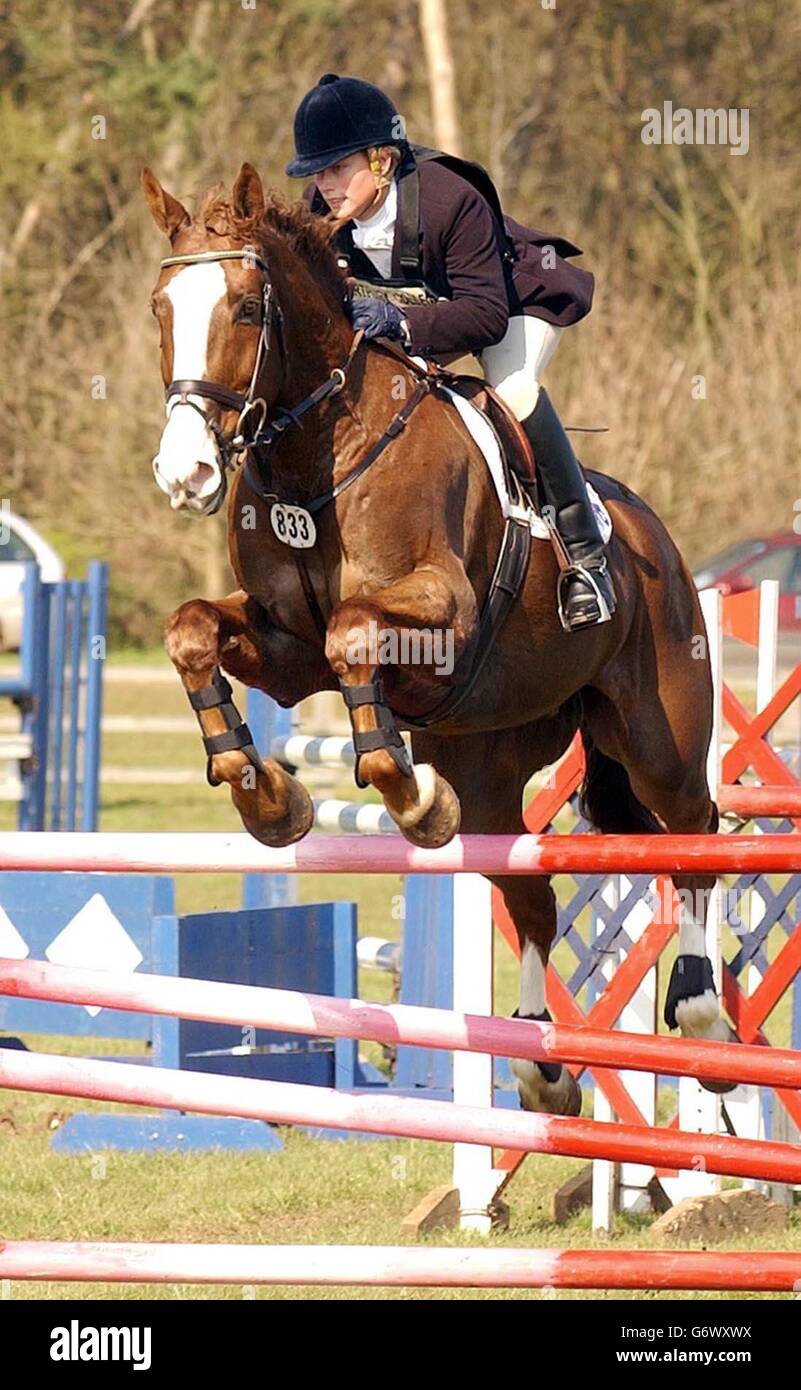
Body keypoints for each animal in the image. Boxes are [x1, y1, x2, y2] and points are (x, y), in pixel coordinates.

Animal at [142, 165, 734, 1117]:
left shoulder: (438, 615)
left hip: (659, 737)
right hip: (490, 767)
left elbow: (353, 635)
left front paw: (406, 795)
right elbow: (195, 629)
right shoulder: (283, 647)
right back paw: (540, 1064)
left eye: (245, 307)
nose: (185, 474)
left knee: (694, 840)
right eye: (161, 306)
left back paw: (704, 1013)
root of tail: (658, 540)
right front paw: (266, 795)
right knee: (530, 892)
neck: (320, 453)